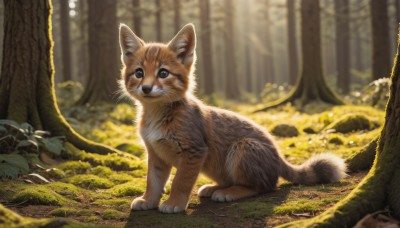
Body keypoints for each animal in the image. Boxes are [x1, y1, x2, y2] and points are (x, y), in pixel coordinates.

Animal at [119, 23, 346, 214]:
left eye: (163, 73)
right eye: (139, 73)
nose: (146, 88)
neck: (157, 113)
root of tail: (278, 156)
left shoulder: (194, 151)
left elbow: (180, 182)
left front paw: (175, 203)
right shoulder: (156, 153)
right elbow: (153, 181)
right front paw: (148, 200)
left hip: (242, 147)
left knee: (266, 186)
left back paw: (231, 192)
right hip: (214, 164)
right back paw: (216, 188)